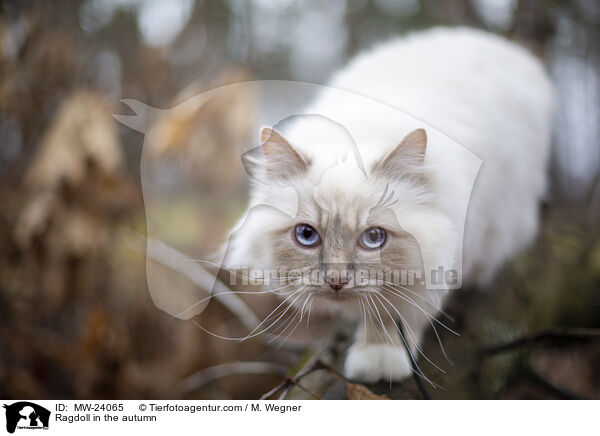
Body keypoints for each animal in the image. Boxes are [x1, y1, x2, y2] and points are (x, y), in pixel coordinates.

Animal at [226, 26, 552, 382]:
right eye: (307, 235)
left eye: (373, 238)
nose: (336, 281)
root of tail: (500, 45)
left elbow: (391, 315)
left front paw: (378, 361)